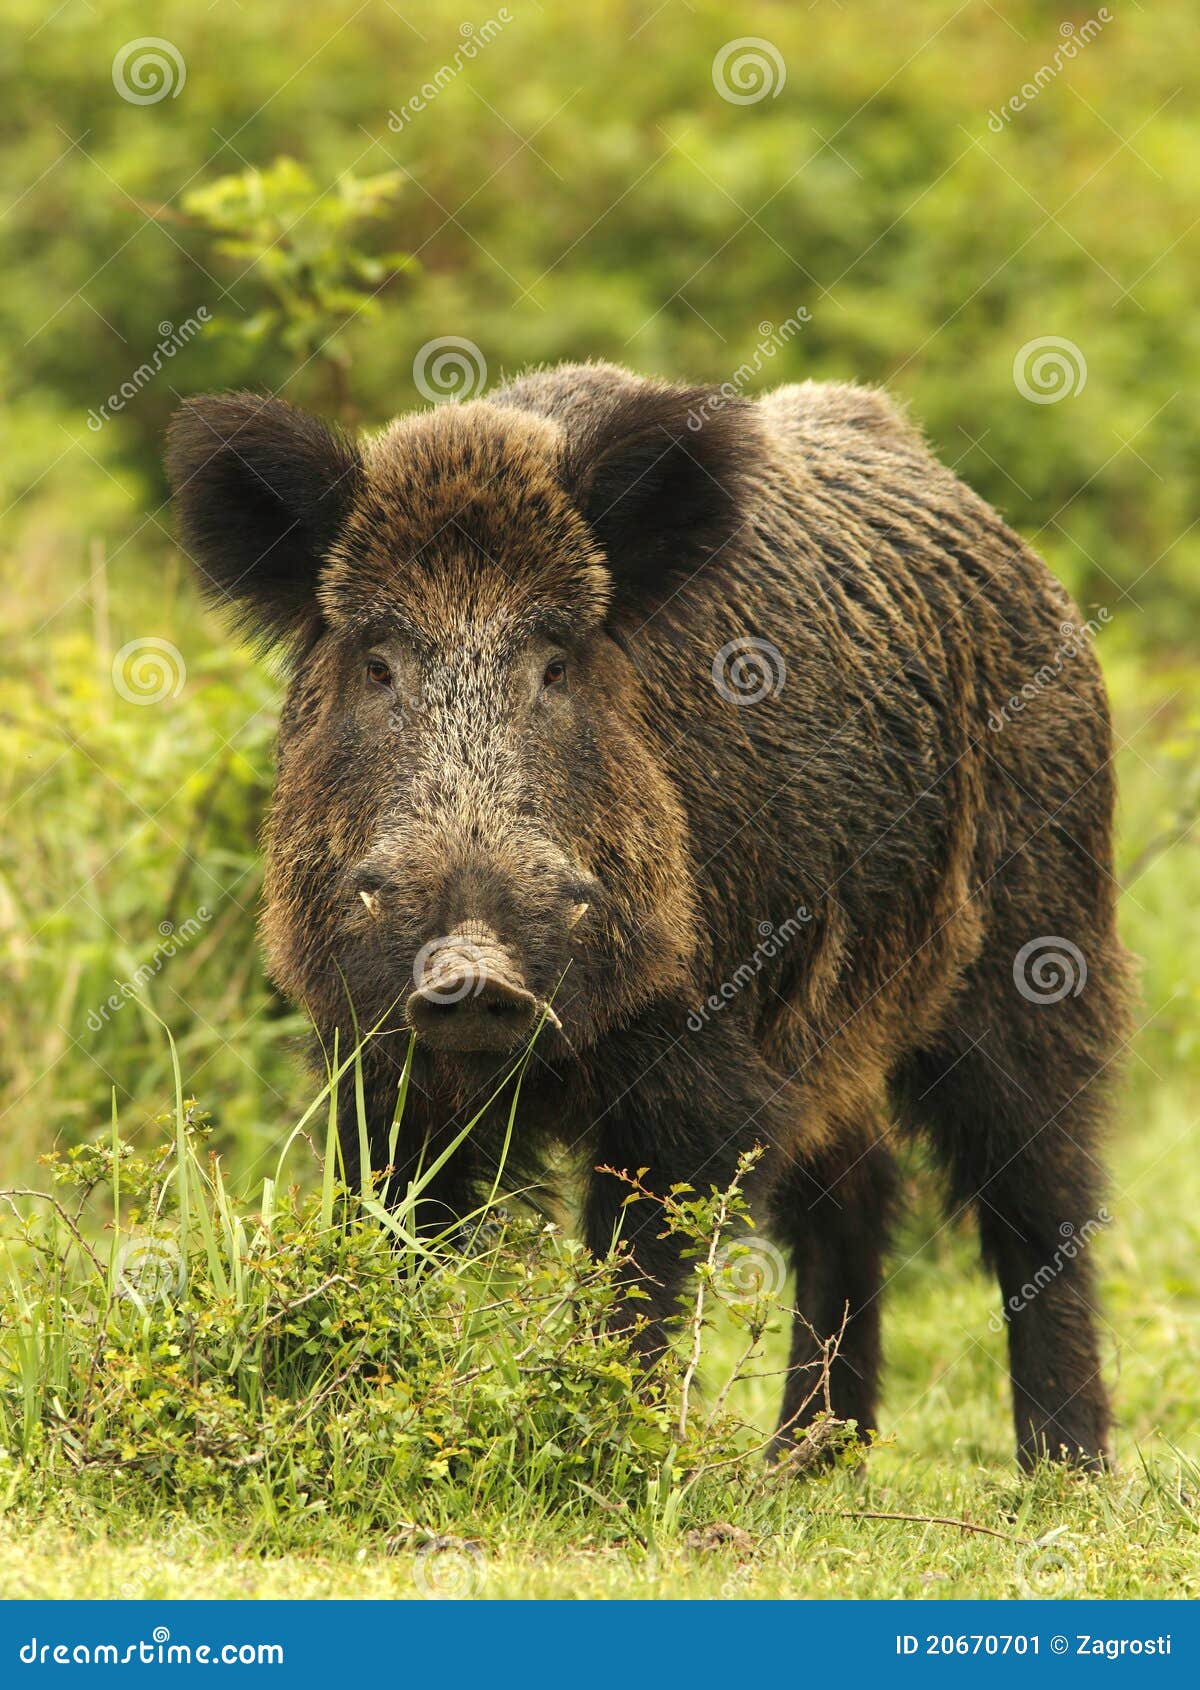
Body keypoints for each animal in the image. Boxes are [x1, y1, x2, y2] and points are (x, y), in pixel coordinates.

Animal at [167, 361, 1132, 1468]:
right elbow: (397, 1223)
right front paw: (375, 1415)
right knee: (856, 1191)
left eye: (556, 664)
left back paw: (1064, 1472)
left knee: (1042, 1192)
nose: (471, 969)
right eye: (378, 663)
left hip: (1039, 948)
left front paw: (590, 1438)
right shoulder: (373, 1053)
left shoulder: (700, 1054)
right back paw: (800, 1466)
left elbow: (637, 1269)